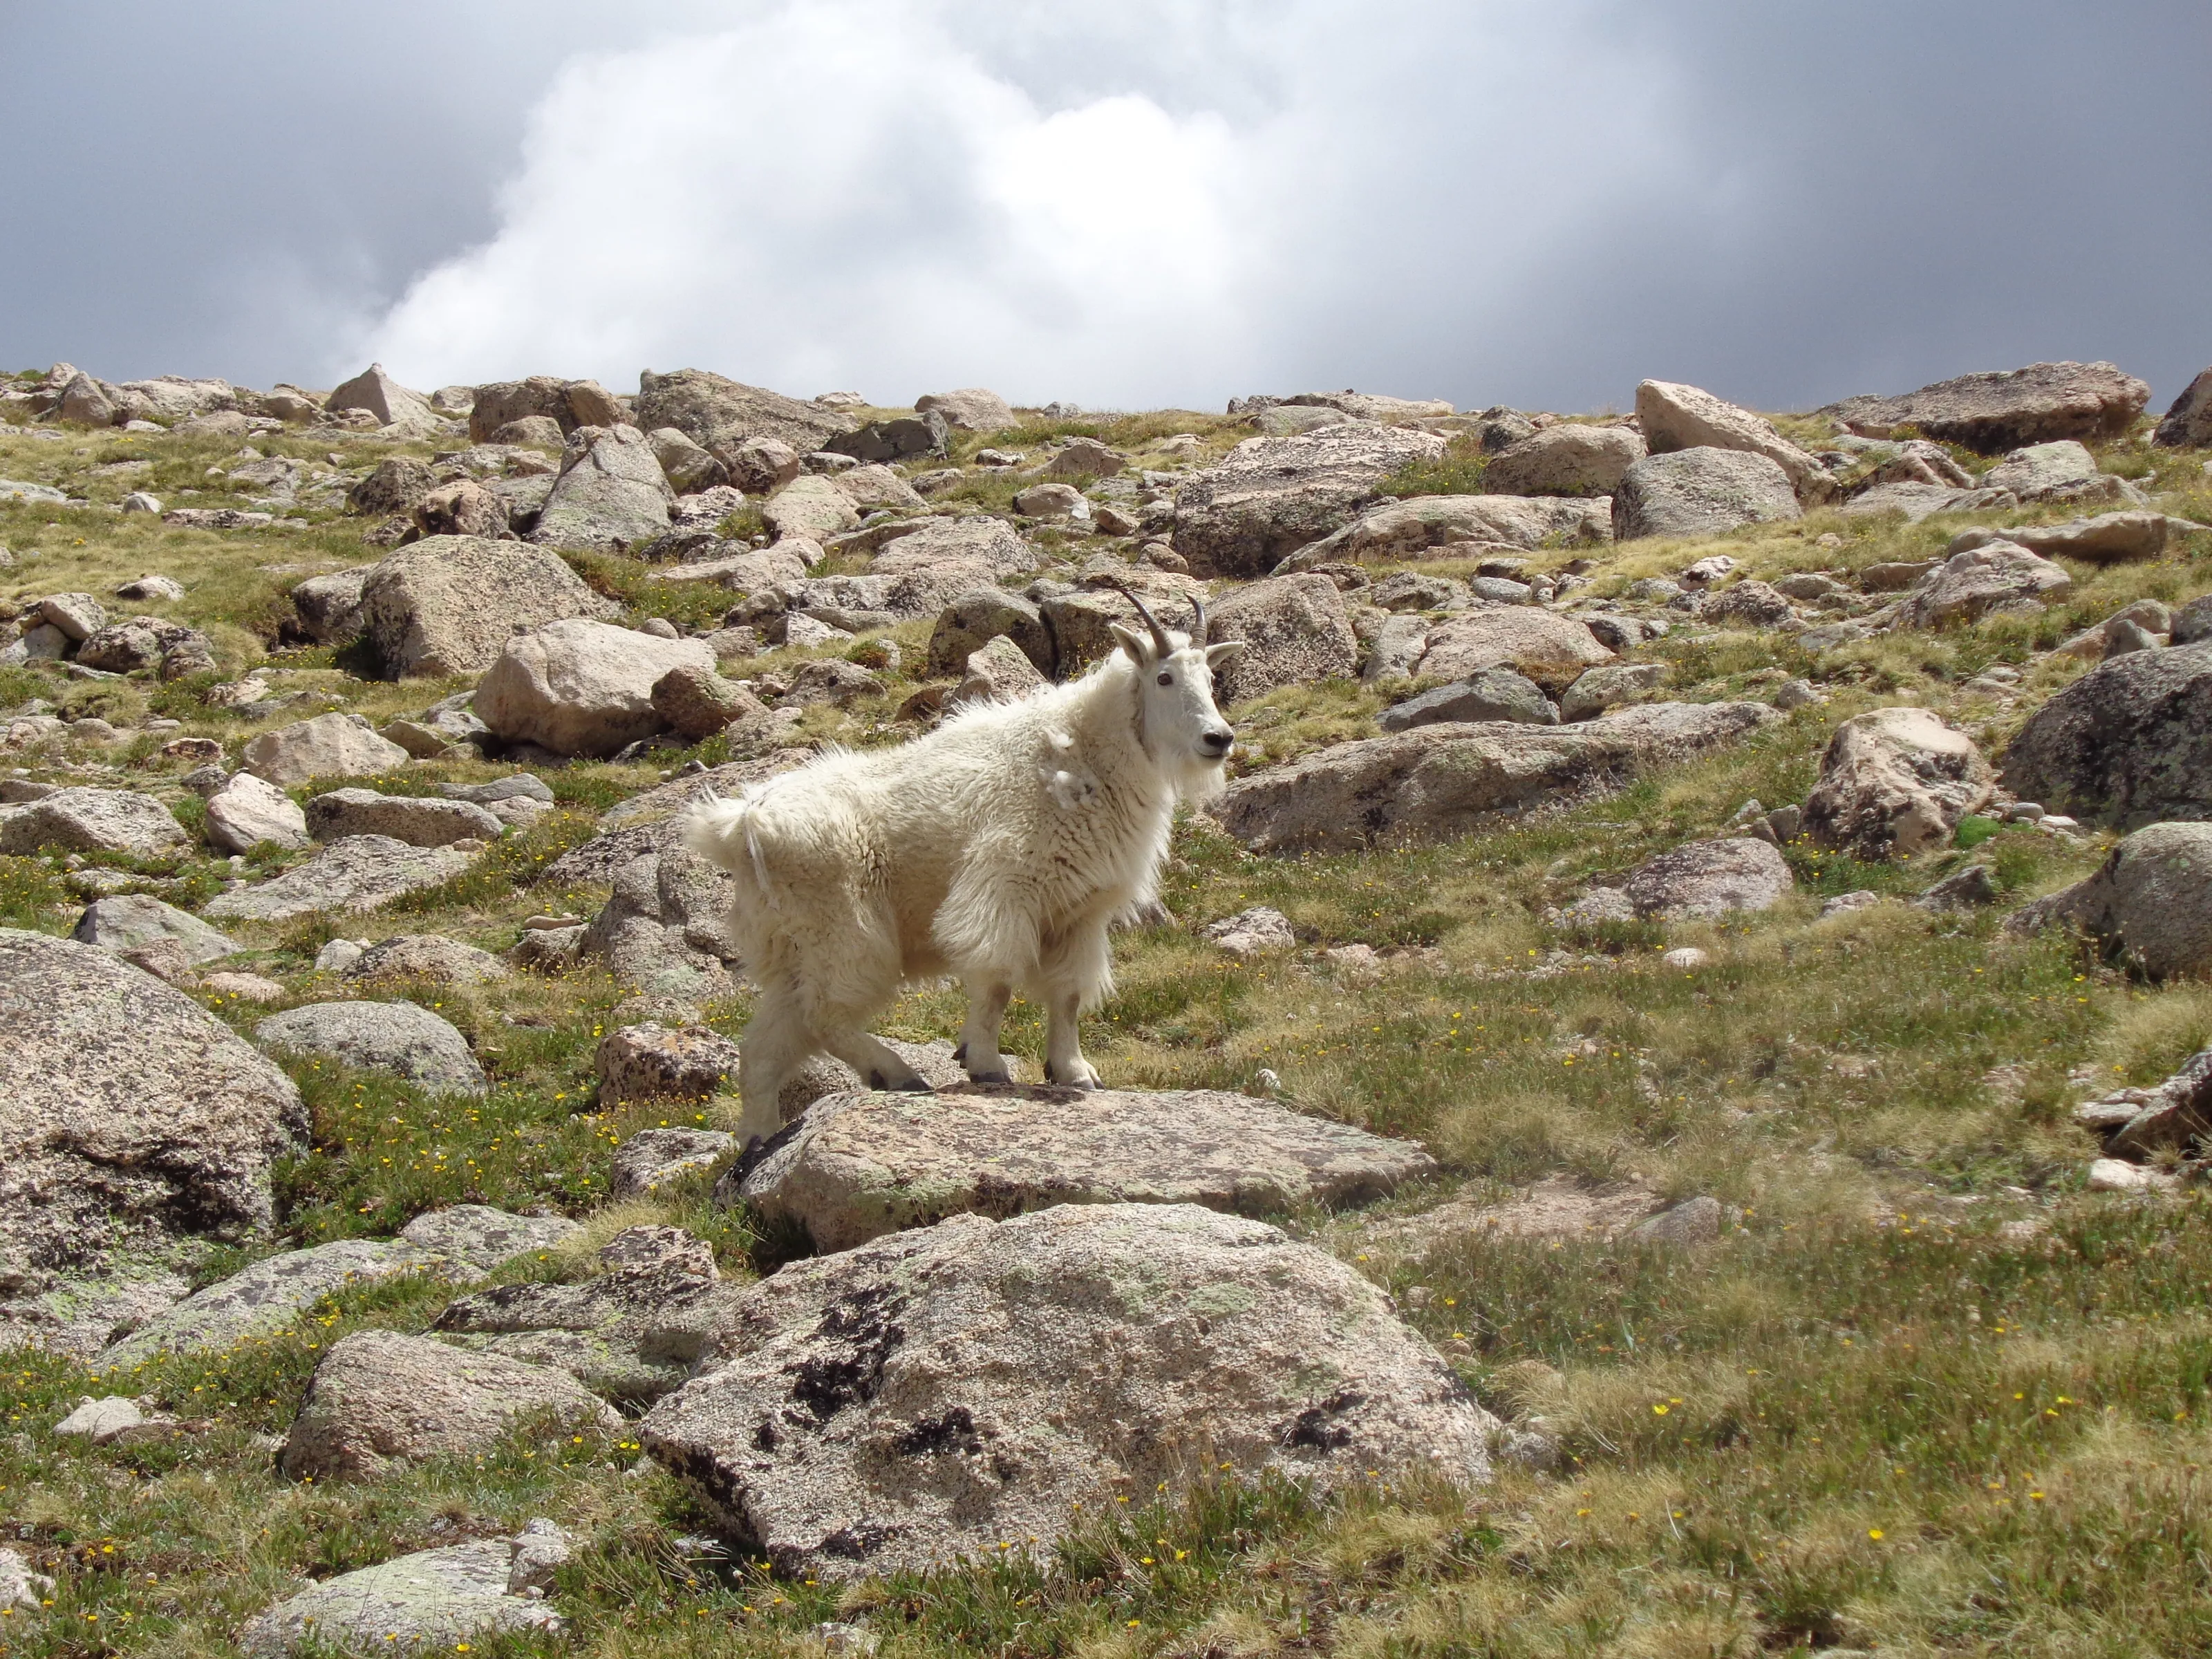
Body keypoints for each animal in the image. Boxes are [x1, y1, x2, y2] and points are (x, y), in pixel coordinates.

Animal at [685, 585, 1245, 1142]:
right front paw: (985, 1064)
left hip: (793, 946)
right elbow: (996, 983)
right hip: (843, 925)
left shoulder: (1080, 913)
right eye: (1164, 678)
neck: (1085, 756)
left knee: (766, 1046)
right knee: (823, 1015)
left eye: (1210, 678)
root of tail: (742, 825)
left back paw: (758, 1140)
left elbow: (1067, 995)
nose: (1218, 739)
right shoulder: (1005, 888)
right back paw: (898, 1075)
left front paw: (1075, 1073)